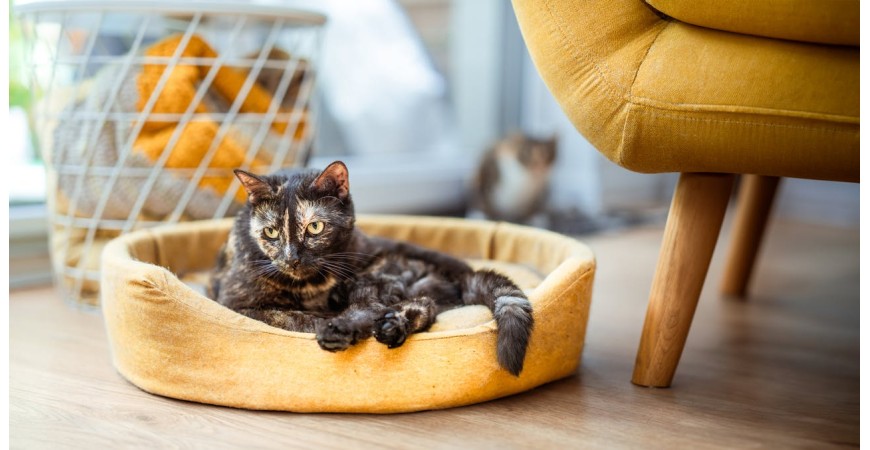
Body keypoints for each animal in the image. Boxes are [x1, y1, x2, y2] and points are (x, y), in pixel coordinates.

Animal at [213, 160, 540, 374]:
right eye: (270, 233)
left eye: (315, 227)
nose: (291, 257)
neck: (312, 286)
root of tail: (460, 275)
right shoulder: (237, 305)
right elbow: (287, 317)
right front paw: (316, 320)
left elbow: (299, 317)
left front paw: (331, 323)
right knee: (421, 305)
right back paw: (385, 327)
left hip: (375, 273)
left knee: (390, 306)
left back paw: (360, 328)